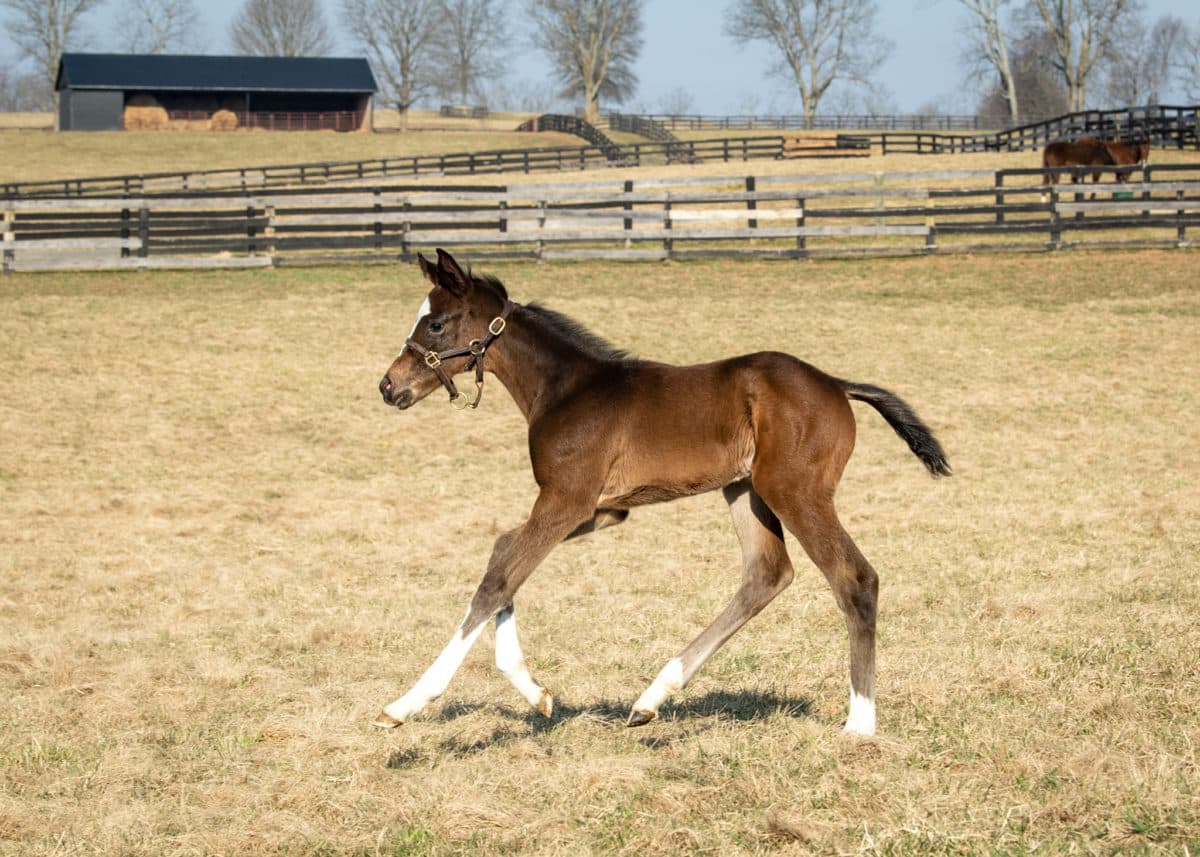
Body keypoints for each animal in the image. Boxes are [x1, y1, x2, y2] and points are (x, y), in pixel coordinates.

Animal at [369, 244, 950, 734]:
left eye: (436, 323)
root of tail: (835, 384)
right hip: (744, 490)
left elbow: (497, 580)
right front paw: (537, 695)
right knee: (767, 575)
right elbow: (503, 555)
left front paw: (406, 704)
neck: (564, 389)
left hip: (794, 489)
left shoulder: (566, 500)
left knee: (855, 578)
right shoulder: (599, 509)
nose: (388, 386)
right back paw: (651, 699)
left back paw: (860, 724)